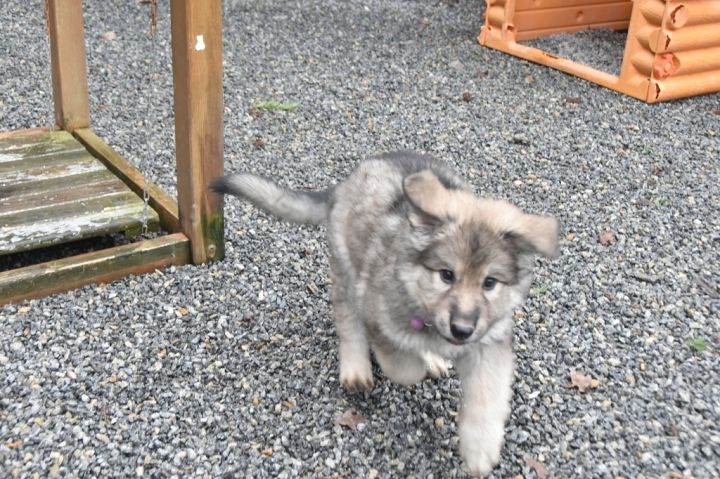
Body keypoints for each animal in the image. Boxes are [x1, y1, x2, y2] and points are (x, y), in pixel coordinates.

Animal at [211, 151, 559, 476]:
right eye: (446, 275)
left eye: (489, 283)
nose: (461, 330)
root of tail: (346, 182)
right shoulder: (378, 319)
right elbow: (404, 366)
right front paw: (417, 361)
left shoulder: (489, 343)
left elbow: (487, 396)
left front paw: (480, 451)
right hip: (347, 270)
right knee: (347, 320)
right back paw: (356, 369)